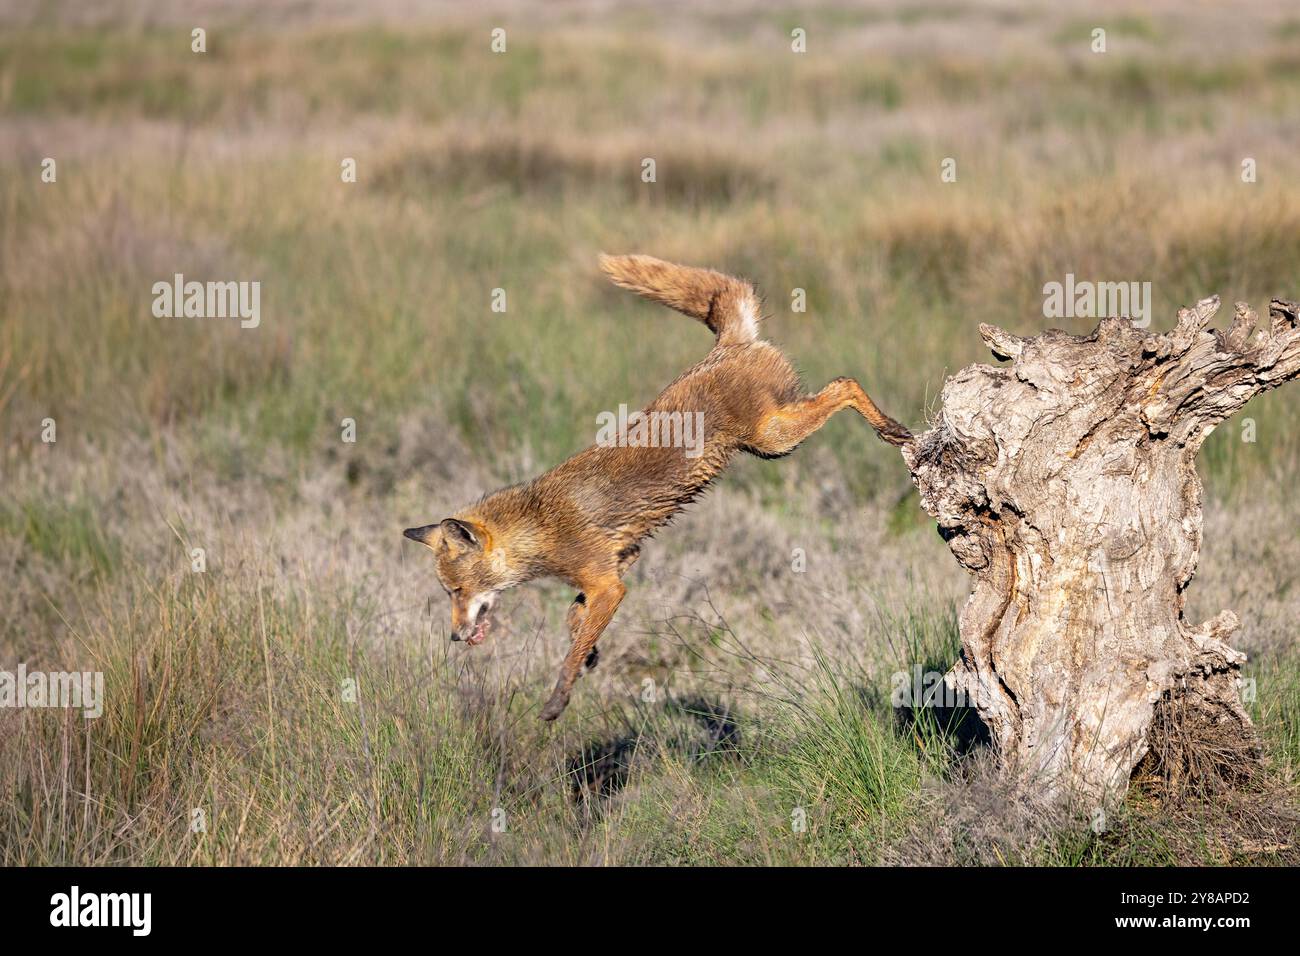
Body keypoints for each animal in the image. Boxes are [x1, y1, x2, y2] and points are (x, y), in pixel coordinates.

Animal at [404, 255, 912, 720]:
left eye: (456, 592)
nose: (454, 636)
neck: (540, 524)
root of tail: (729, 345)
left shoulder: (608, 584)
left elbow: (571, 647)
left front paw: (559, 697)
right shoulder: (620, 560)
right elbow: (574, 620)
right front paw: (589, 653)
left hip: (775, 440)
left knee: (845, 383)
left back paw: (891, 429)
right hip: (772, 441)